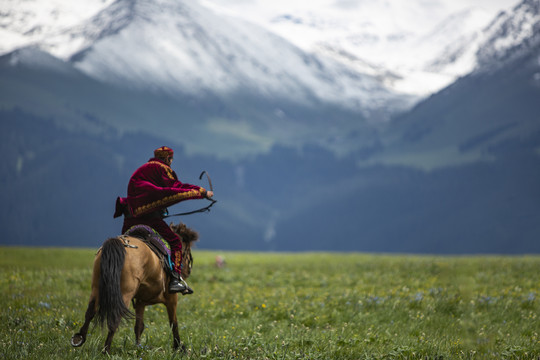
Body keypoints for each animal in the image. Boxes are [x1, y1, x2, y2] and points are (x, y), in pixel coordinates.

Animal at [69, 222, 198, 354]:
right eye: (187, 250)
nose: (187, 271)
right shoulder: (172, 298)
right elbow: (174, 324)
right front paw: (179, 347)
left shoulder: (140, 302)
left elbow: (139, 326)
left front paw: (138, 347)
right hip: (124, 294)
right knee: (115, 319)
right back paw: (106, 350)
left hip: (96, 288)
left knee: (90, 311)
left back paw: (79, 338)